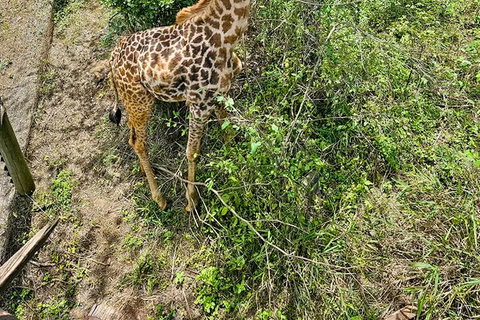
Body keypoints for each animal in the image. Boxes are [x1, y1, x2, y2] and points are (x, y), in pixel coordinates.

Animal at [108, 0, 251, 211]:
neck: (226, 38)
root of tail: (112, 59)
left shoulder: (219, 94)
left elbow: (227, 132)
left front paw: (235, 162)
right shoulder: (198, 103)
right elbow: (193, 152)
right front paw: (191, 201)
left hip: (132, 101)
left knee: (131, 135)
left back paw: (144, 169)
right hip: (140, 100)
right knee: (139, 142)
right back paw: (160, 198)